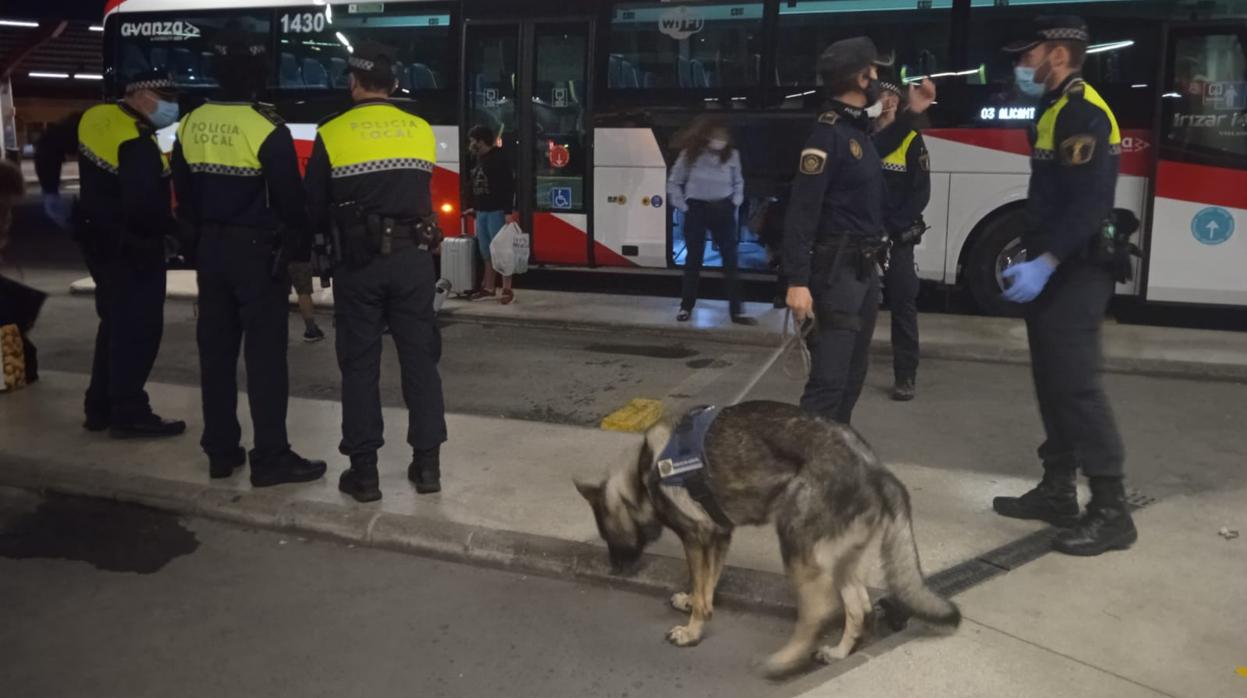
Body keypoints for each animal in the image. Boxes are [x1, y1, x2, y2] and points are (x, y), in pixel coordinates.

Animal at [571, 401, 957, 678]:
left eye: (607, 534)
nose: (615, 570)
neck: (643, 473)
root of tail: (875, 469)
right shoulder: (719, 536)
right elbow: (707, 582)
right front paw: (696, 601)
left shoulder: (696, 537)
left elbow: (701, 582)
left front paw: (692, 629)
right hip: (842, 561)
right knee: (859, 608)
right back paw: (837, 653)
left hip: (796, 542)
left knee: (819, 610)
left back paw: (784, 661)